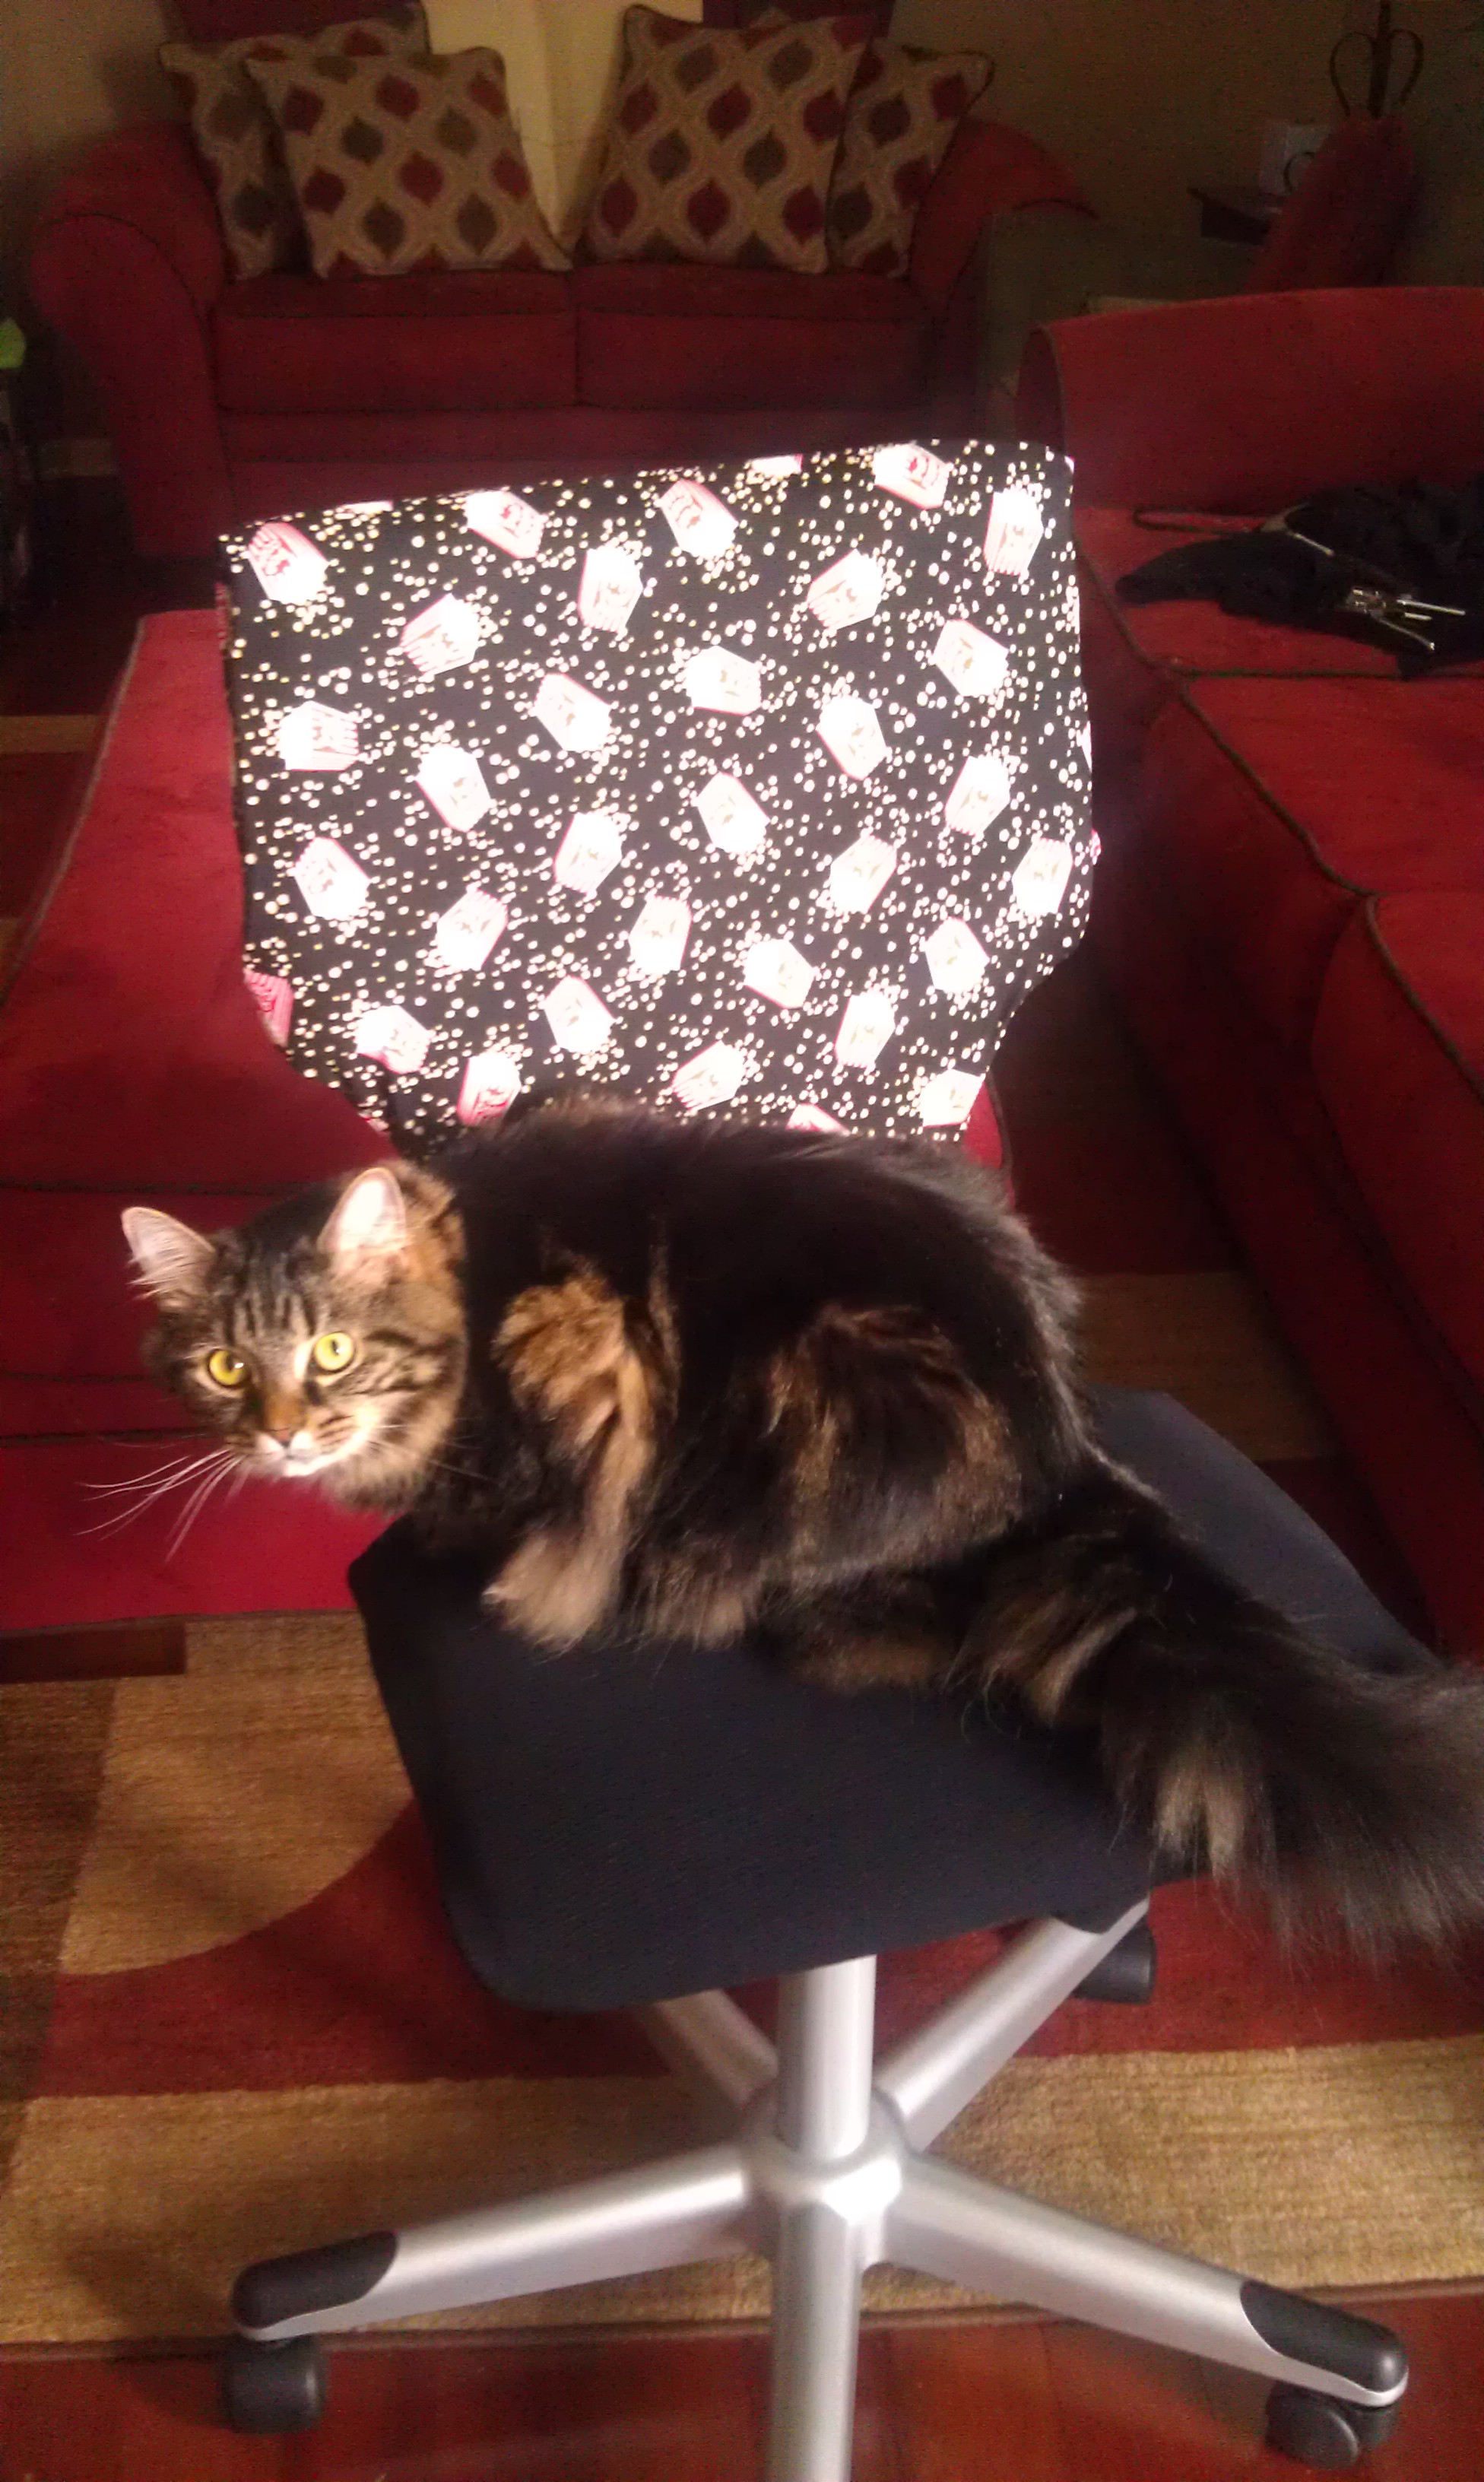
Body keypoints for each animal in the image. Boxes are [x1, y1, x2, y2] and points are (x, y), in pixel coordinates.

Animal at [122, 1097, 1484, 1951]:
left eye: (333, 1354)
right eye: (227, 1370)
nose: (283, 1435)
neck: (467, 1278)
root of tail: (1060, 1444)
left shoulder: (574, 1362)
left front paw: (472, 1553)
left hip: (826, 1408)